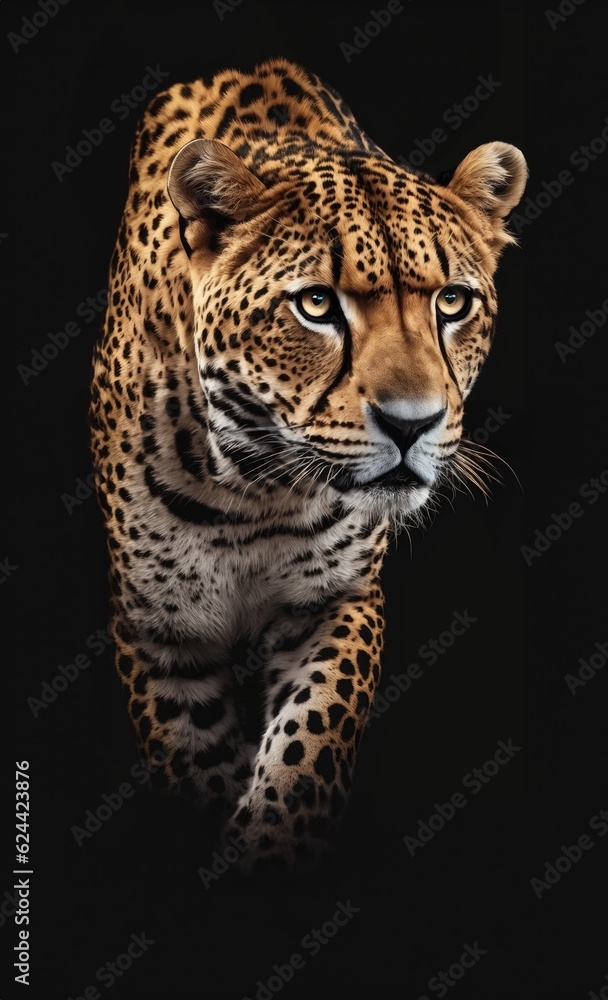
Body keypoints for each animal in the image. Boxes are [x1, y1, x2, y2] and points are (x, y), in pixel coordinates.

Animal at [89, 56, 527, 871]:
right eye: (317, 305)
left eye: (453, 303)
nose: (412, 424)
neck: (251, 491)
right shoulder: (158, 630)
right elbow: (196, 758)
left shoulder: (338, 599)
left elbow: (307, 744)